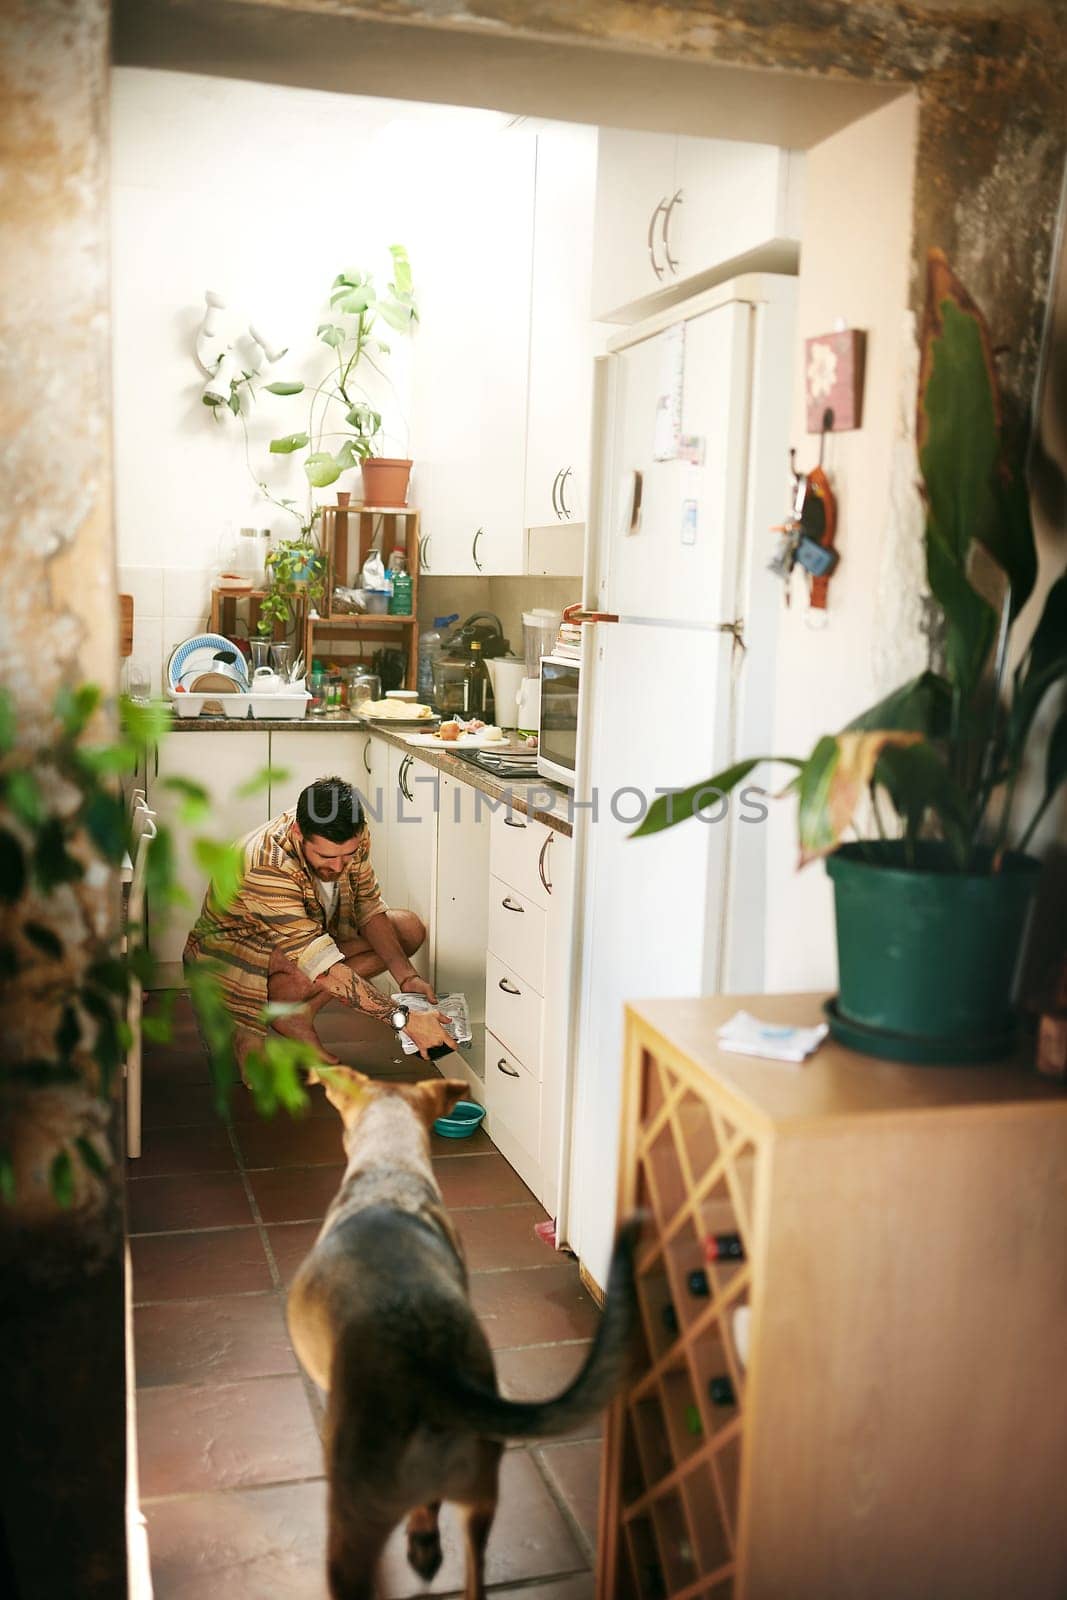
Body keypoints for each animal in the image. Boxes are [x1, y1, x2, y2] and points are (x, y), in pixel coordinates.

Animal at [286, 1062, 643, 1600]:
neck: (390, 1172)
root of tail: (430, 1374)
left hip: (354, 1527)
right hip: (479, 1498)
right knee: (469, 1564)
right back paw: (427, 1548)